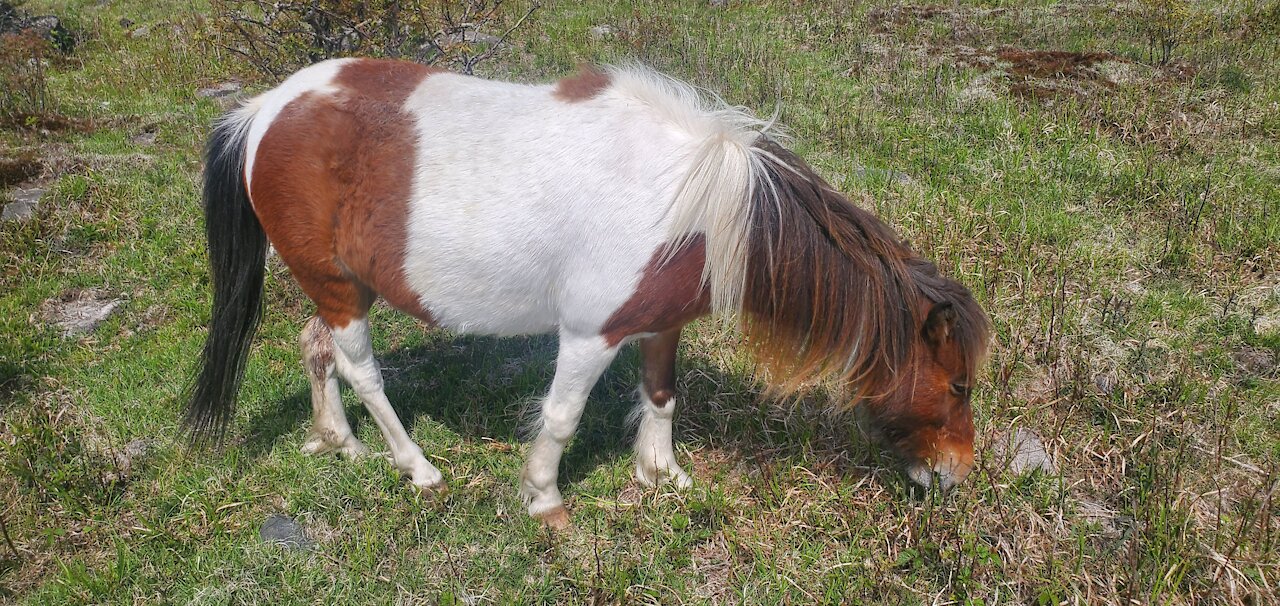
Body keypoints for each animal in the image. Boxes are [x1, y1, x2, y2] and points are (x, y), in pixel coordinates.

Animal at [186, 58, 988, 527]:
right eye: (957, 387)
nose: (956, 477)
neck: (701, 206)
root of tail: (263, 110)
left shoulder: (660, 323)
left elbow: (662, 395)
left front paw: (661, 475)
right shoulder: (590, 335)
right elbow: (562, 417)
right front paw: (544, 499)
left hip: (338, 284)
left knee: (315, 345)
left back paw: (342, 443)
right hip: (340, 289)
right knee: (362, 371)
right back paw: (416, 468)